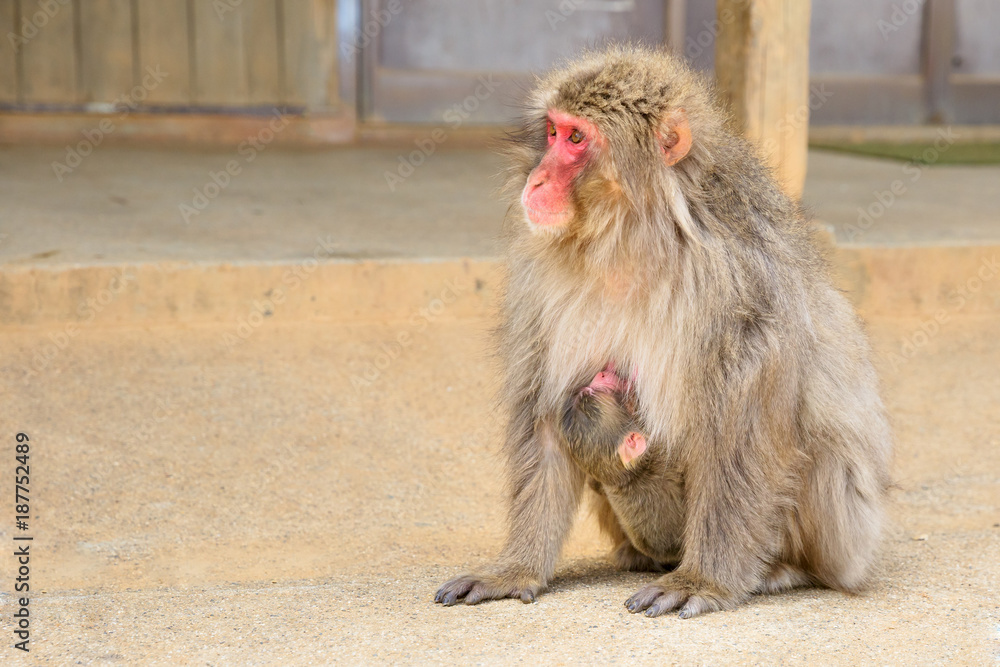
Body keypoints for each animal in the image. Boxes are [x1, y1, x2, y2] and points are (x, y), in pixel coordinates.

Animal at [434, 45, 892, 618]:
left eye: (577, 140)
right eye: (554, 131)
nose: (535, 180)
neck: (634, 237)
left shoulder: (741, 284)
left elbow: (740, 434)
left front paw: (704, 580)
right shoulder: (538, 280)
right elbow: (544, 410)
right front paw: (515, 568)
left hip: (845, 533)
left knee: (817, 439)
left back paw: (783, 569)